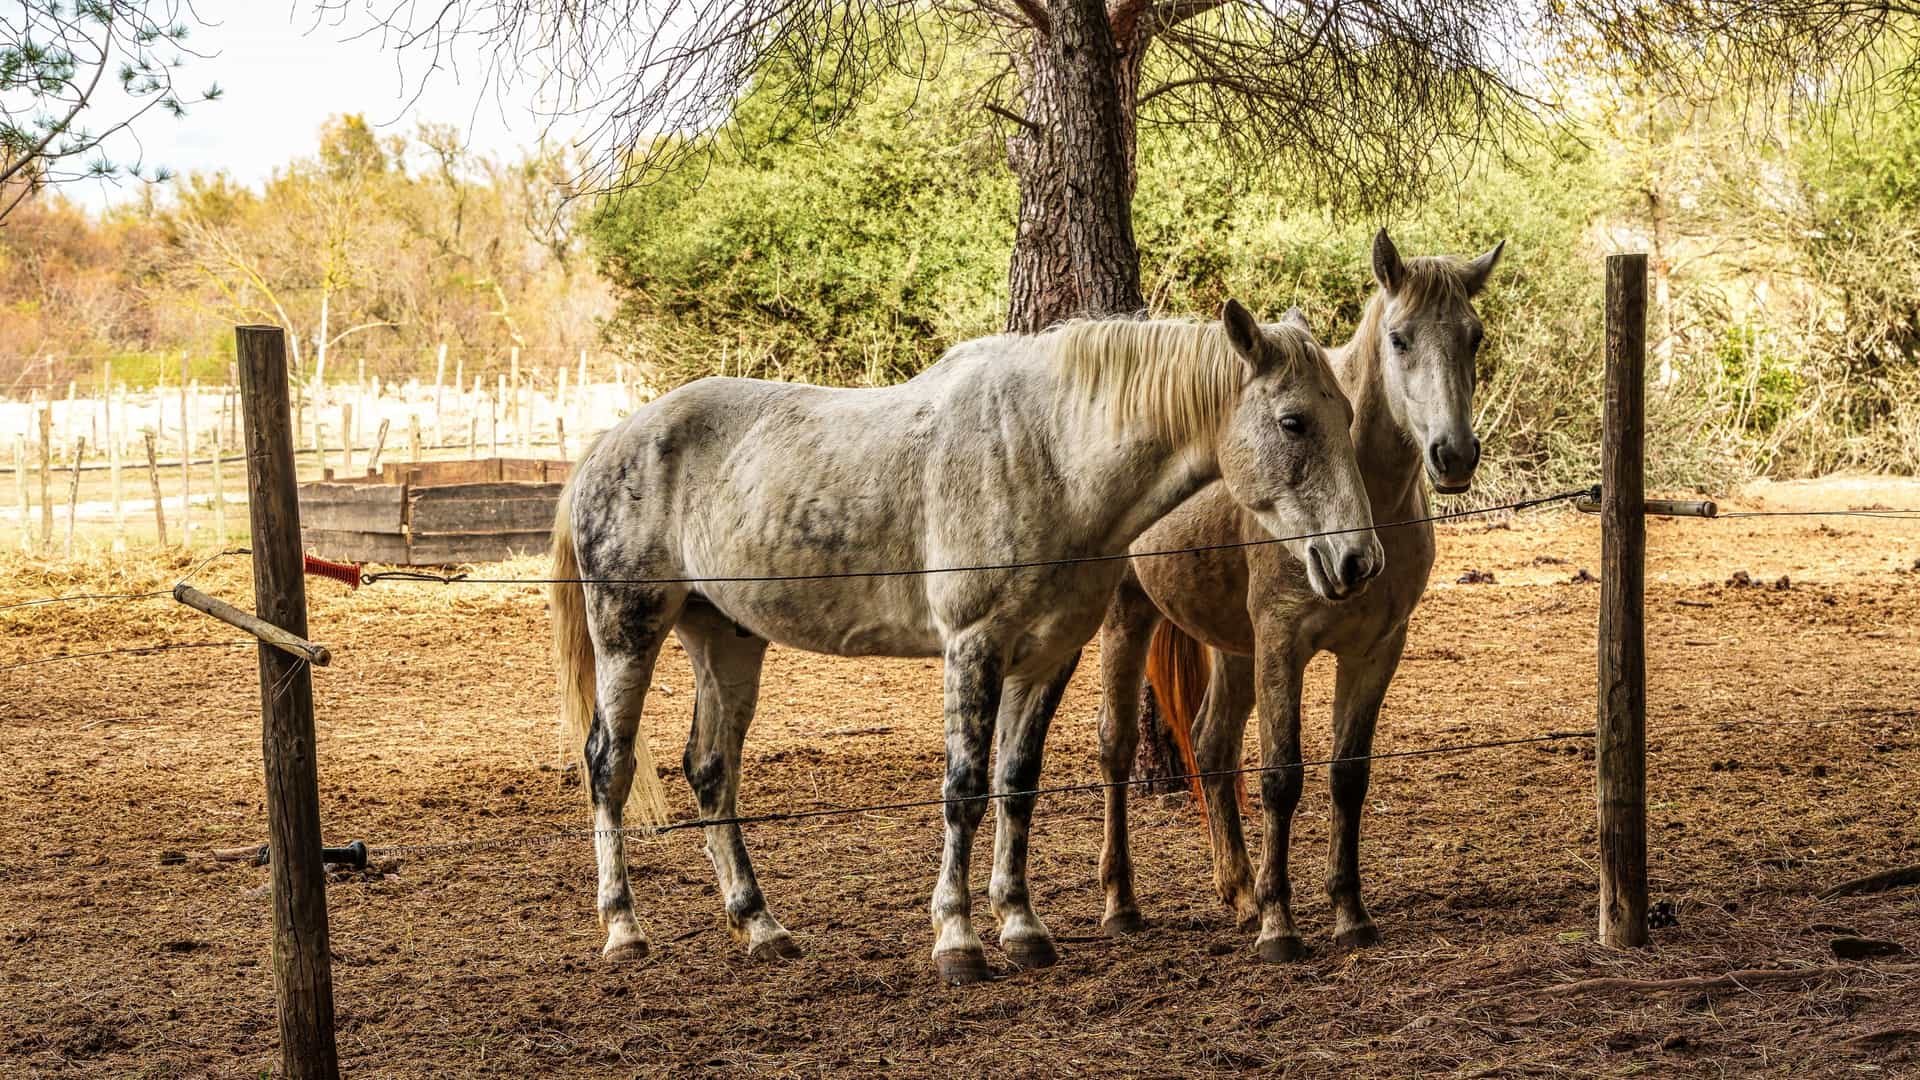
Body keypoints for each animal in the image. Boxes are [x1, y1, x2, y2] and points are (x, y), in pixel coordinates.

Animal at [548, 301, 1385, 985]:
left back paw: (760, 926)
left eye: (1347, 414)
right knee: (610, 766)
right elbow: (965, 790)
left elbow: (1017, 785)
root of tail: (608, 445)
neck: (1048, 452)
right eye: (1293, 422)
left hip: (725, 638)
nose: (1358, 562)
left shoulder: (1046, 658)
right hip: (629, 630)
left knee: (711, 770)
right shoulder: (972, 649)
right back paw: (624, 929)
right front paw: (957, 939)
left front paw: (1021, 926)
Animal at [1094, 231, 1505, 962]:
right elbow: (1282, 777)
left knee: (1212, 746)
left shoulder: (1375, 650)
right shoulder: (1282, 642)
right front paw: (1280, 925)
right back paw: (1122, 903)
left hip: (1233, 647)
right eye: (1399, 338)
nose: (1454, 455)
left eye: (1474, 336)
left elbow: (1348, 774)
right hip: (1130, 616)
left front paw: (1349, 912)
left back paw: (1238, 893)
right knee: (1116, 747)